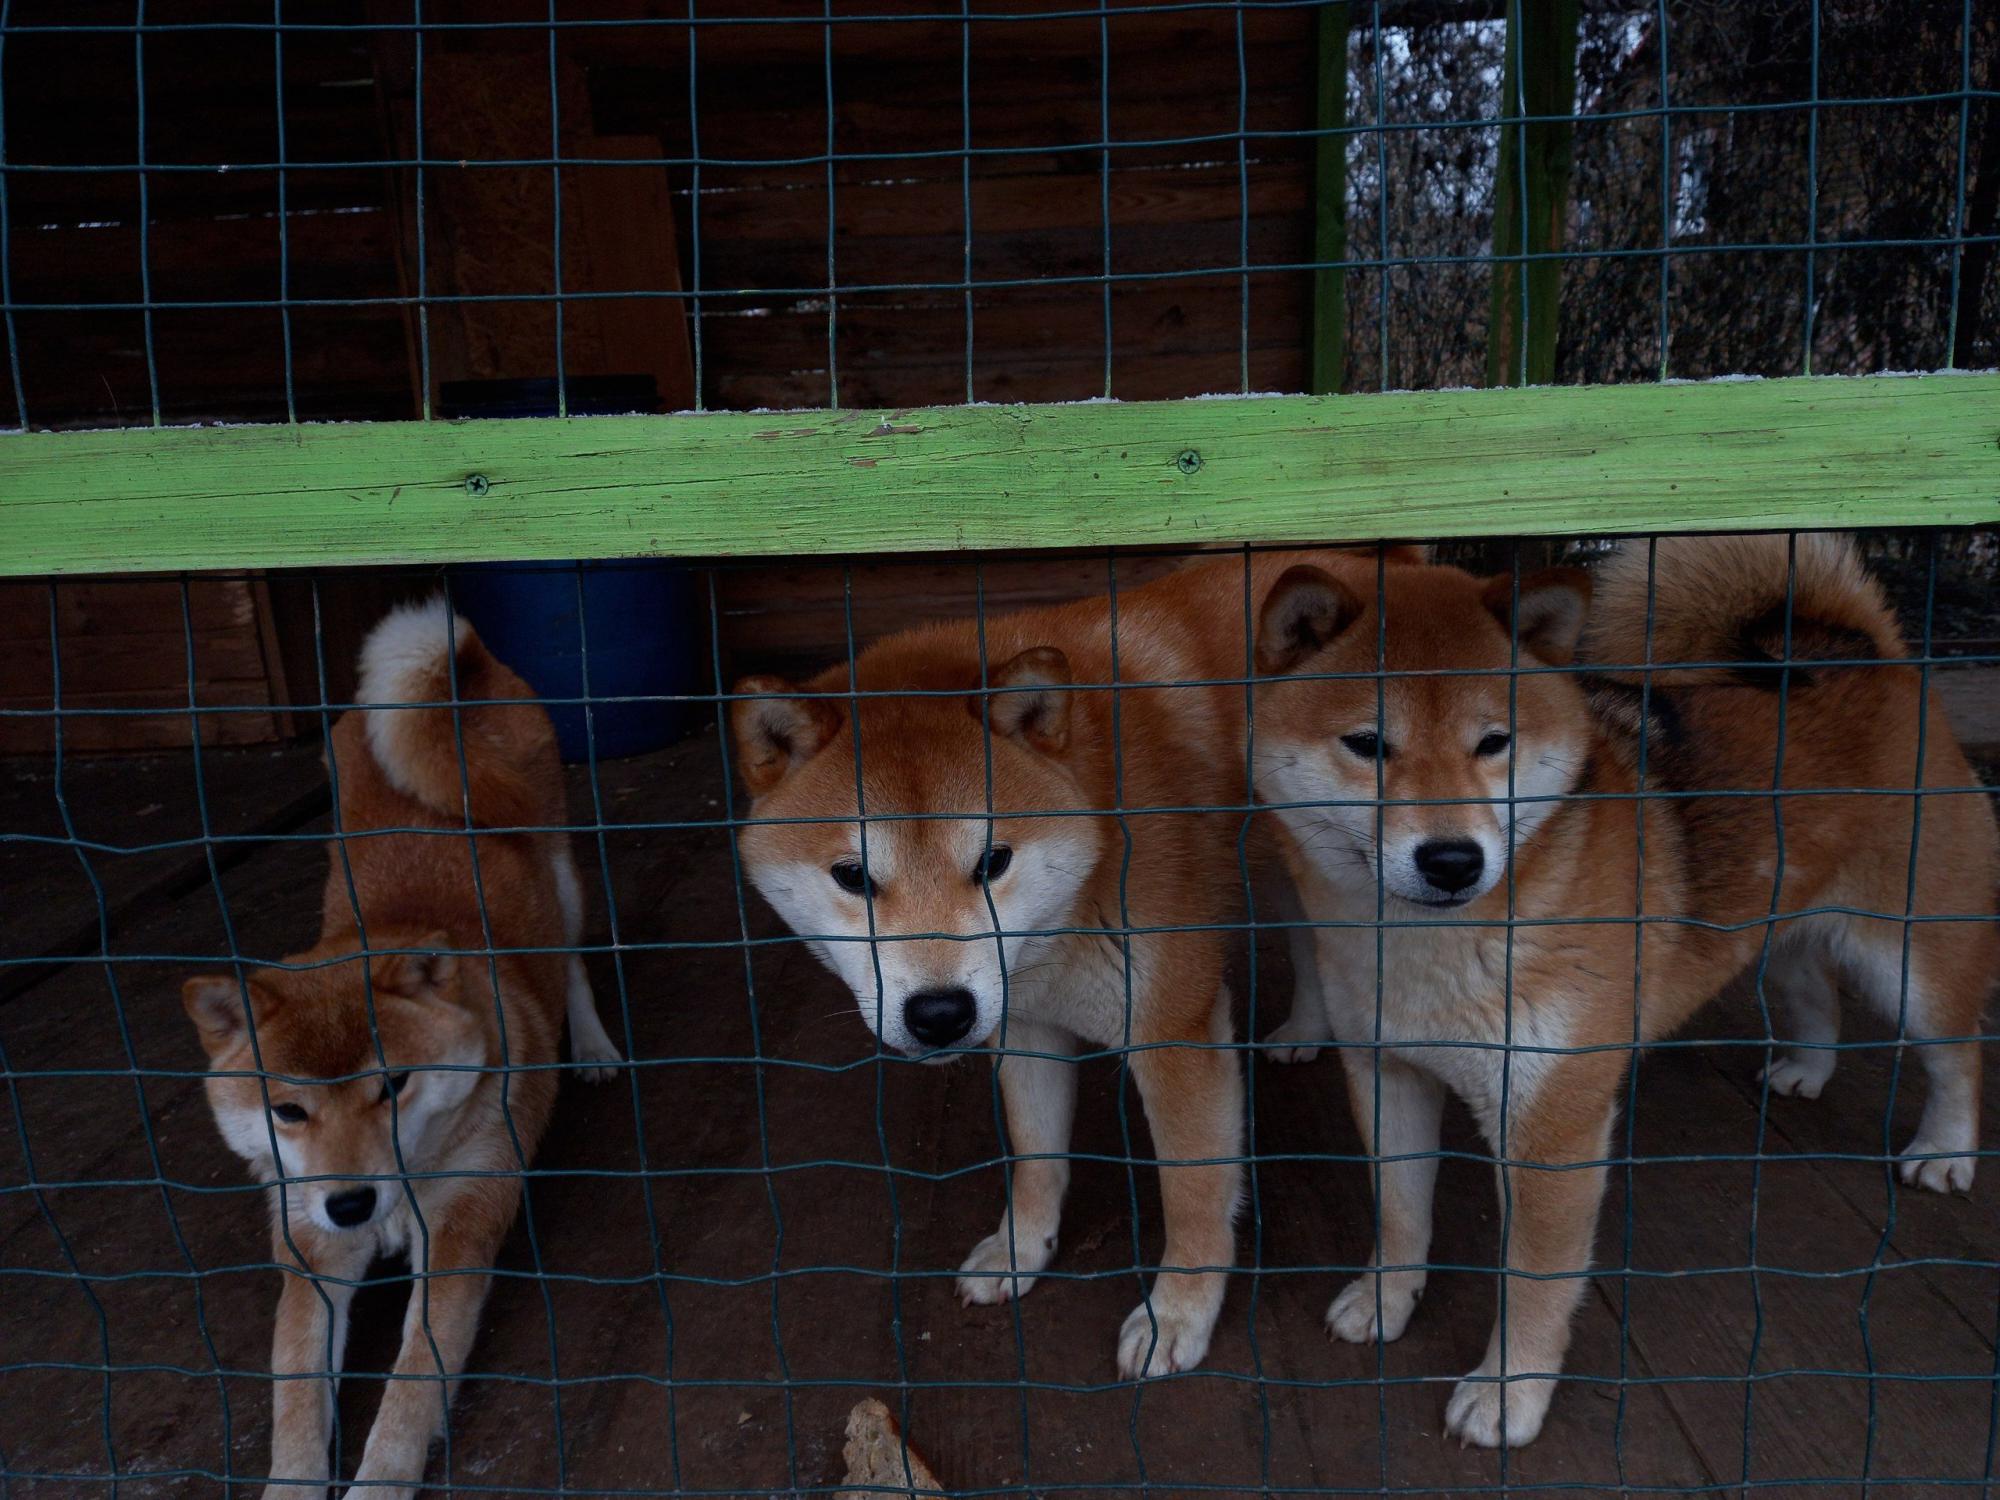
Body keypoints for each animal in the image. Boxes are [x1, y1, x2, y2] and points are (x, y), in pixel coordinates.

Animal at [182, 604, 616, 1500]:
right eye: (288, 1109)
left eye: (396, 1085)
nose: (351, 1203)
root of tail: (458, 673)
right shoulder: (311, 1255)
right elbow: (298, 1402)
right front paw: (292, 1484)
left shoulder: (456, 1236)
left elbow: (409, 1394)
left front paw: (376, 1483)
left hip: (560, 871)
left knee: (572, 961)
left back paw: (590, 1045)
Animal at [724, 548, 1392, 1376]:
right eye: (852, 876)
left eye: (993, 861)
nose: (939, 1012)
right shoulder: (1026, 1024)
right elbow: (1036, 1157)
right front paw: (1021, 1251)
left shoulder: (1175, 1030)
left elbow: (1194, 1195)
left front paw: (1179, 1313)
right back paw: (1305, 1029)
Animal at [1256, 536, 1992, 1448]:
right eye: (1366, 743)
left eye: (1494, 742)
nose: (1453, 859)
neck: (1430, 951)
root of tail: (1869, 655)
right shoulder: (1388, 1071)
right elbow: (1400, 1214)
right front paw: (1386, 1299)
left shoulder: (1553, 1124)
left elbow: (1534, 1279)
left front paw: (1508, 1393)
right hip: (1775, 927)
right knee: (1813, 988)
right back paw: (1807, 1070)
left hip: (1912, 962)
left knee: (1958, 1053)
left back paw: (1947, 1151)